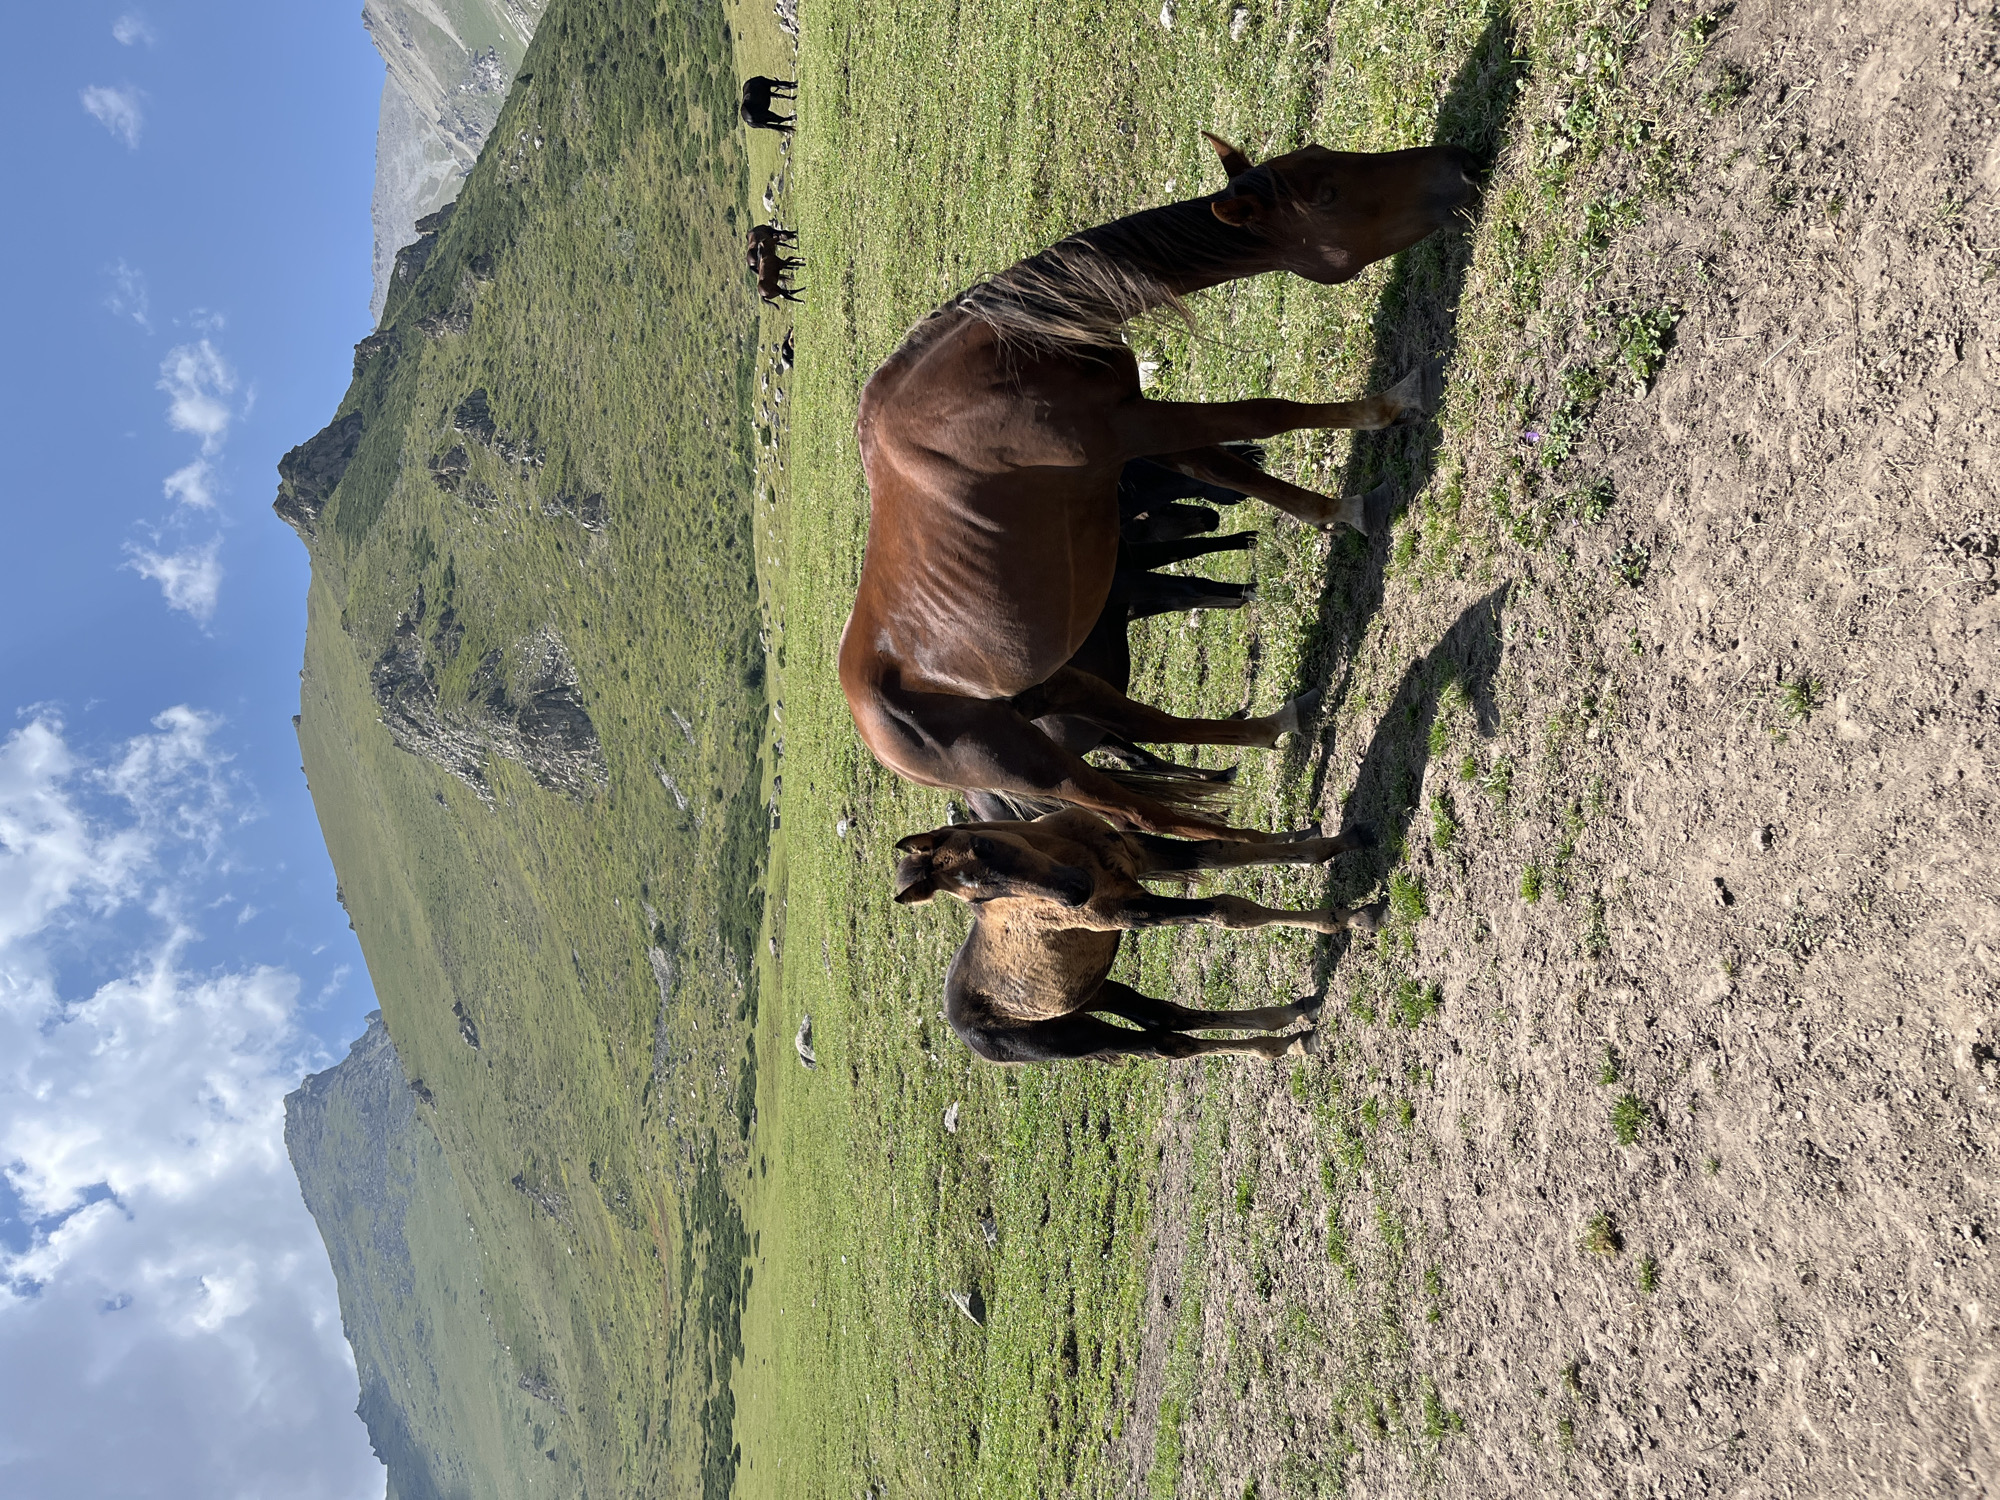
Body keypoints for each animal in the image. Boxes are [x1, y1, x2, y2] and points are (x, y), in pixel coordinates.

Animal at [839, 132, 1479, 841]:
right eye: (1327, 193)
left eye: (1324, 157)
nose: (1463, 162)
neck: (1009, 355)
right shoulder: (1131, 428)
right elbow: (1266, 414)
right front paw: (1391, 409)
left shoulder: (1137, 428)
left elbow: (1230, 470)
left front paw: (1340, 509)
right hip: (1035, 764)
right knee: (1144, 812)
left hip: (1061, 689)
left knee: (1150, 723)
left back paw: (1278, 726)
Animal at [891, 808, 1383, 1064]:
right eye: (977, 897)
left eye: (984, 844)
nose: (1074, 894)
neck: (1072, 852)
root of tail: (962, 1029)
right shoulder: (1127, 912)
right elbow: (1228, 909)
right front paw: (1352, 917)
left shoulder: (1139, 851)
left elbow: (1226, 851)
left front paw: (1345, 840)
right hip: (1072, 1036)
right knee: (1167, 1044)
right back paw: (1285, 1043)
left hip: (1095, 991)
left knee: (1167, 1015)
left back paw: (1287, 1017)